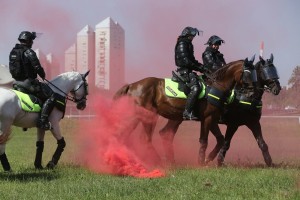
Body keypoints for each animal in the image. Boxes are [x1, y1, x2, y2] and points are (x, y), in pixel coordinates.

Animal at [113, 57, 254, 164]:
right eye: (247, 73)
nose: (251, 93)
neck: (215, 87)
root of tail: (132, 85)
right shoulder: (207, 119)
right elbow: (204, 140)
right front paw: (201, 161)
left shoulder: (212, 119)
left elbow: (220, 139)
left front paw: (208, 158)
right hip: (149, 116)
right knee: (144, 138)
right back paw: (157, 161)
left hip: (136, 118)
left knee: (124, 135)